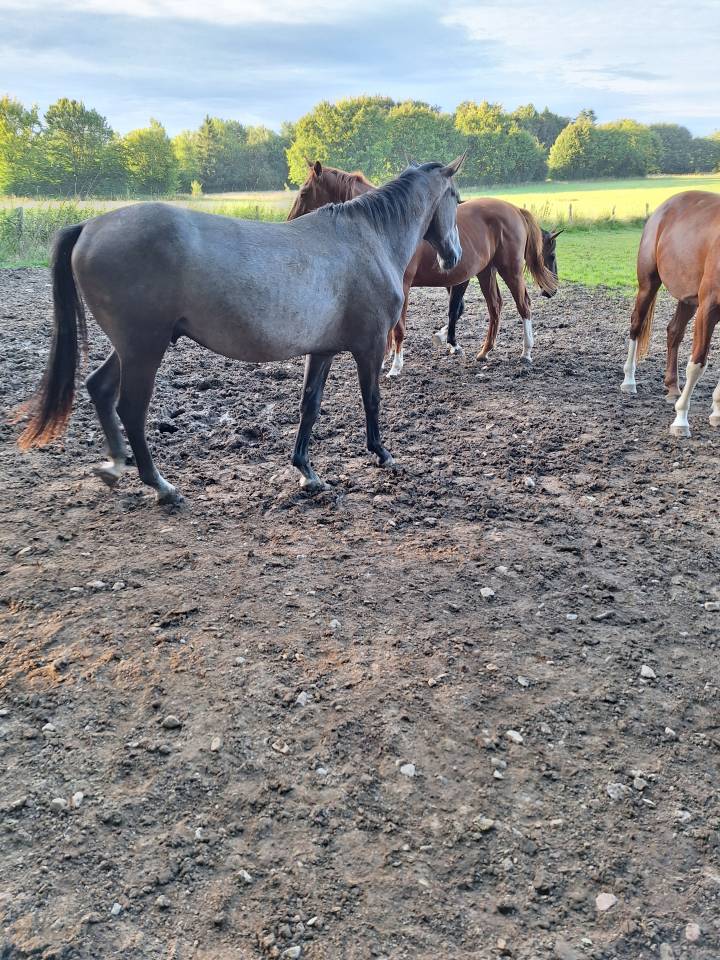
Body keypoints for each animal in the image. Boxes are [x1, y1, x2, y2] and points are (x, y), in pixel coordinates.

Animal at [16, 158, 465, 502]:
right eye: (456, 199)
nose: (453, 256)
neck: (368, 238)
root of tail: (89, 226)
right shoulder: (369, 346)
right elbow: (372, 400)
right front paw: (383, 454)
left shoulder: (322, 350)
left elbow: (310, 405)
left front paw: (307, 471)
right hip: (145, 348)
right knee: (131, 408)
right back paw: (161, 486)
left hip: (132, 346)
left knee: (100, 388)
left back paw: (115, 466)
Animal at [288, 160, 561, 376]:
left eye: (304, 192)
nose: (291, 222)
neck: (390, 223)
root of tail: (514, 209)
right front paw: (389, 358)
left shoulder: (408, 285)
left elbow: (401, 326)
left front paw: (395, 366)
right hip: (486, 271)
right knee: (495, 307)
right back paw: (484, 352)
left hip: (510, 269)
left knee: (523, 305)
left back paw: (526, 352)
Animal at [621, 190, 720, 437]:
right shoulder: (709, 307)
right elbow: (697, 363)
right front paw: (681, 420)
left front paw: (716, 411)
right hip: (648, 284)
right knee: (636, 325)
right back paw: (629, 381)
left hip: (688, 299)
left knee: (674, 331)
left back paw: (673, 387)